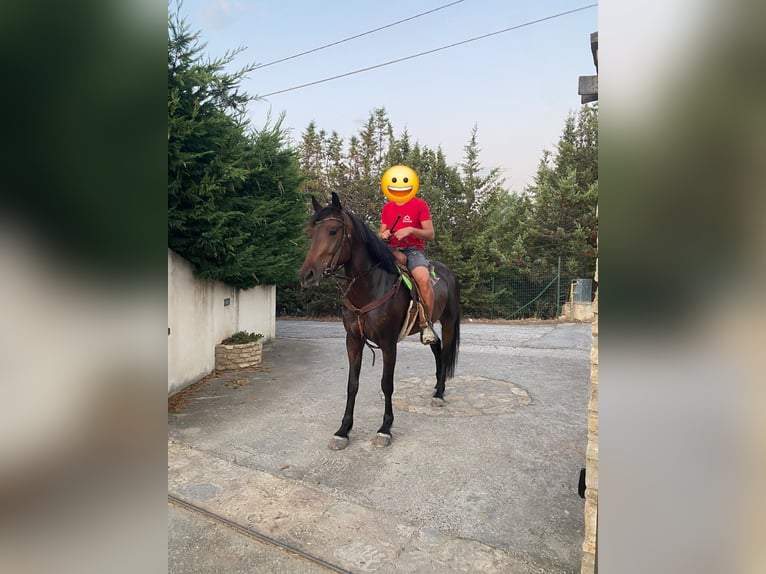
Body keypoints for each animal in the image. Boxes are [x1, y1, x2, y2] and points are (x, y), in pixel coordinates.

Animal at [299, 192, 461, 449]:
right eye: (312, 232)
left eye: (333, 230)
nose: (307, 275)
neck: (371, 286)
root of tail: (448, 273)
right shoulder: (353, 341)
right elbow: (352, 384)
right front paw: (343, 430)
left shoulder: (388, 343)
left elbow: (387, 384)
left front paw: (385, 428)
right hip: (429, 325)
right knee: (436, 349)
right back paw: (436, 387)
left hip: (448, 322)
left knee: (444, 354)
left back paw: (439, 393)